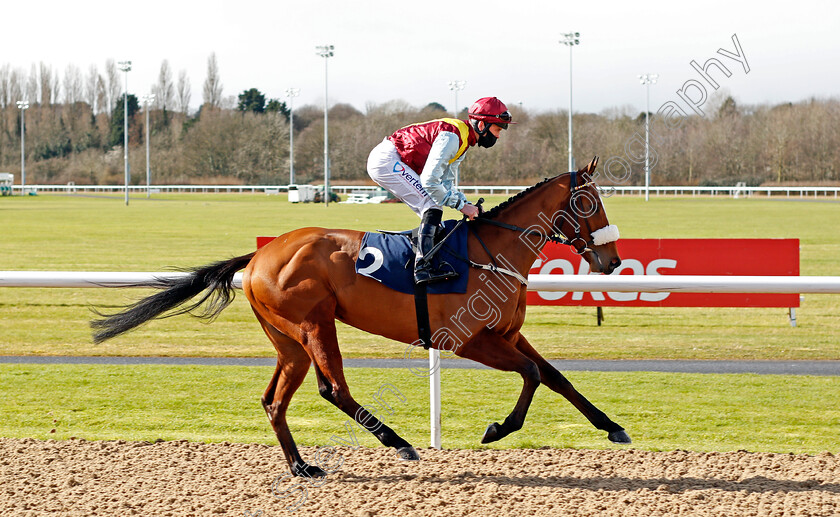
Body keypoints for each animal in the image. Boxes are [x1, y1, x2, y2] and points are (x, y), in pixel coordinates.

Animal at [92, 156, 632, 476]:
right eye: (589, 201)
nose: (612, 262)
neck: (491, 250)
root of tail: (260, 254)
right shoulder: (467, 339)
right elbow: (531, 375)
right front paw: (498, 429)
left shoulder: (507, 333)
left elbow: (555, 376)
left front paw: (611, 426)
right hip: (314, 324)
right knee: (332, 388)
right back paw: (398, 442)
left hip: (288, 341)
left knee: (274, 400)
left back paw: (301, 466)